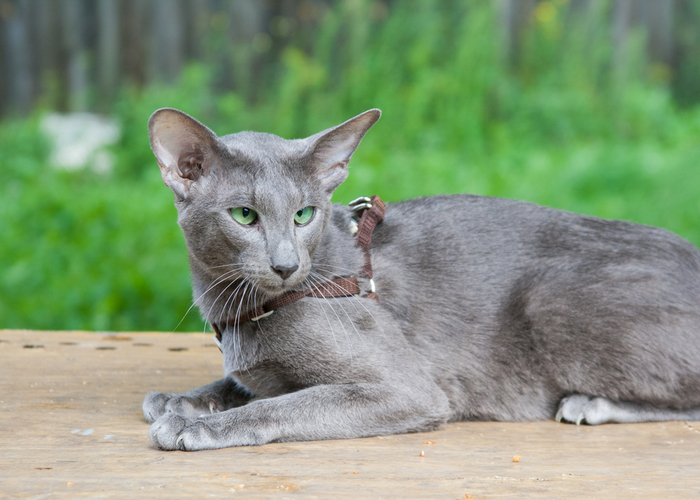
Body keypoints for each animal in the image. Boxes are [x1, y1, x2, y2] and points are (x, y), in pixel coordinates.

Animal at [142, 107, 700, 452]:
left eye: (304, 215)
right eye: (244, 215)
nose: (285, 264)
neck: (243, 311)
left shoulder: (407, 389)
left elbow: (283, 403)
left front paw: (196, 423)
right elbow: (245, 384)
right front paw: (180, 398)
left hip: (550, 300)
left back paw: (591, 403)